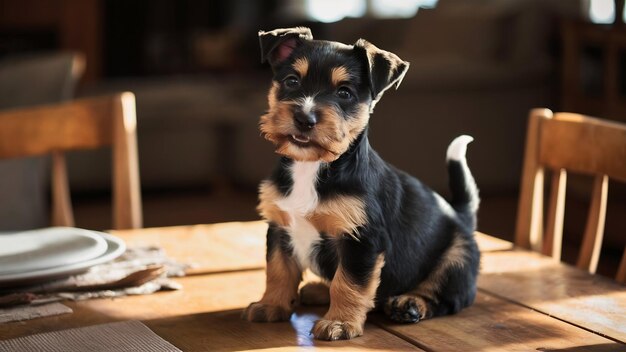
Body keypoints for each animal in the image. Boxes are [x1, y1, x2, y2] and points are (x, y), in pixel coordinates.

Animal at [243, 27, 478, 340]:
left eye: (344, 93)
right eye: (292, 81)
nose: (304, 118)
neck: (312, 166)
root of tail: (460, 214)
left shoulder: (362, 240)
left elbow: (348, 282)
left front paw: (339, 323)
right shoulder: (280, 228)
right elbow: (278, 270)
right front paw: (271, 306)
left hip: (457, 258)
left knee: (446, 294)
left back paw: (409, 304)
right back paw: (318, 290)